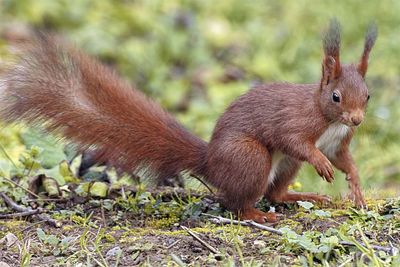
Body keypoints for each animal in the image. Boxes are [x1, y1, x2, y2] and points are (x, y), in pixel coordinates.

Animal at [0, 19, 376, 223]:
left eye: (368, 96)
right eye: (336, 97)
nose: (357, 120)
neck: (329, 119)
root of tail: (211, 163)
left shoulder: (338, 142)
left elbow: (345, 161)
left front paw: (355, 185)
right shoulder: (293, 121)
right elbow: (294, 141)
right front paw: (321, 164)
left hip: (283, 166)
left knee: (275, 191)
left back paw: (303, 197)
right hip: (251, 157)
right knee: (235, 204)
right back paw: (257, 214)